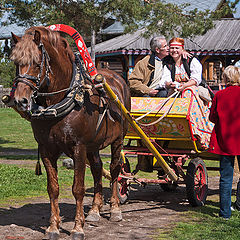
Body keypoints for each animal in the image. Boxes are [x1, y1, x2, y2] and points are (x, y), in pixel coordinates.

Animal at [9, 25, 130, 239]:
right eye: (16, 62)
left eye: (37, 63)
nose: (20, 100)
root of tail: (116, 78)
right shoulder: (47, 149)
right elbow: (53, 189)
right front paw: (54, 227)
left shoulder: (78, 148)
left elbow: (78, 189)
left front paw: (77, 228)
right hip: (93, 145)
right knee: (98, 168)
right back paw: (94, 211)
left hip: (118, 140)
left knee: (115, 170)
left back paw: (115, 209)